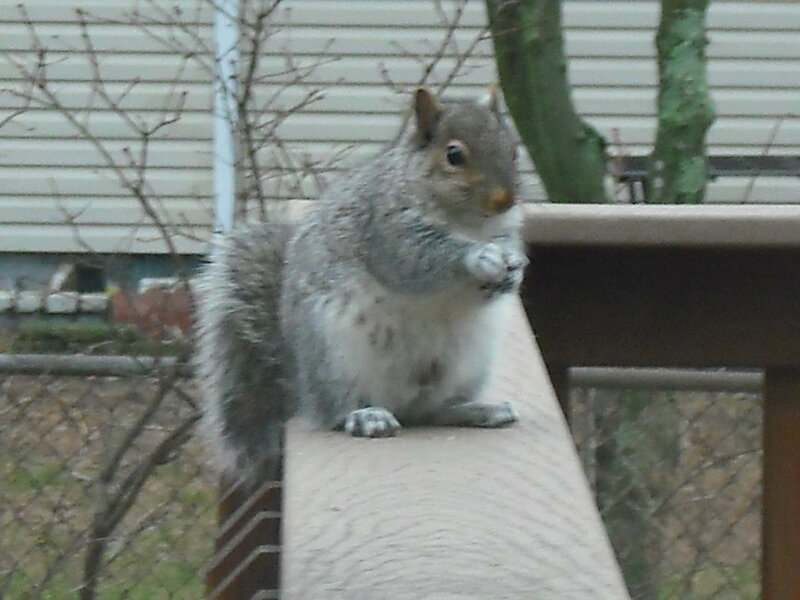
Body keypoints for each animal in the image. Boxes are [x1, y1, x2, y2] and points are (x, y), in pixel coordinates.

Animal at [194, 87, 527, 482]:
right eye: (454, 155)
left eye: (513, 149)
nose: (505, 200)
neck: (468, 222)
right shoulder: (384, 228)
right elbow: (416, 261)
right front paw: (479, 257)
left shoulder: (503, 229)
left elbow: (507, 248)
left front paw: (513, 270)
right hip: (338, 358)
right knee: (339, 410)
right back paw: (366, 416)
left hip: (469, 361)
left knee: (433, 412)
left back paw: (478, 410)